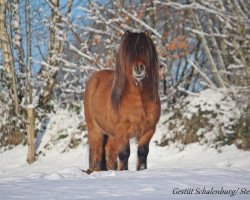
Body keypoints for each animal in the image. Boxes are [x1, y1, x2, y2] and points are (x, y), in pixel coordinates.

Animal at [84, 30, 161, 171]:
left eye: (145, 50)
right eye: (129, 54)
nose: (139, 68)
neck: (139, 100)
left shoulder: (148, 130)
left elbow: (142, 152)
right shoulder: (122, 131)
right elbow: (124, 153)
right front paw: (124, 171)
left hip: (112, 134)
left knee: (109, 152)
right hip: (96, 130)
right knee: (97, 150)